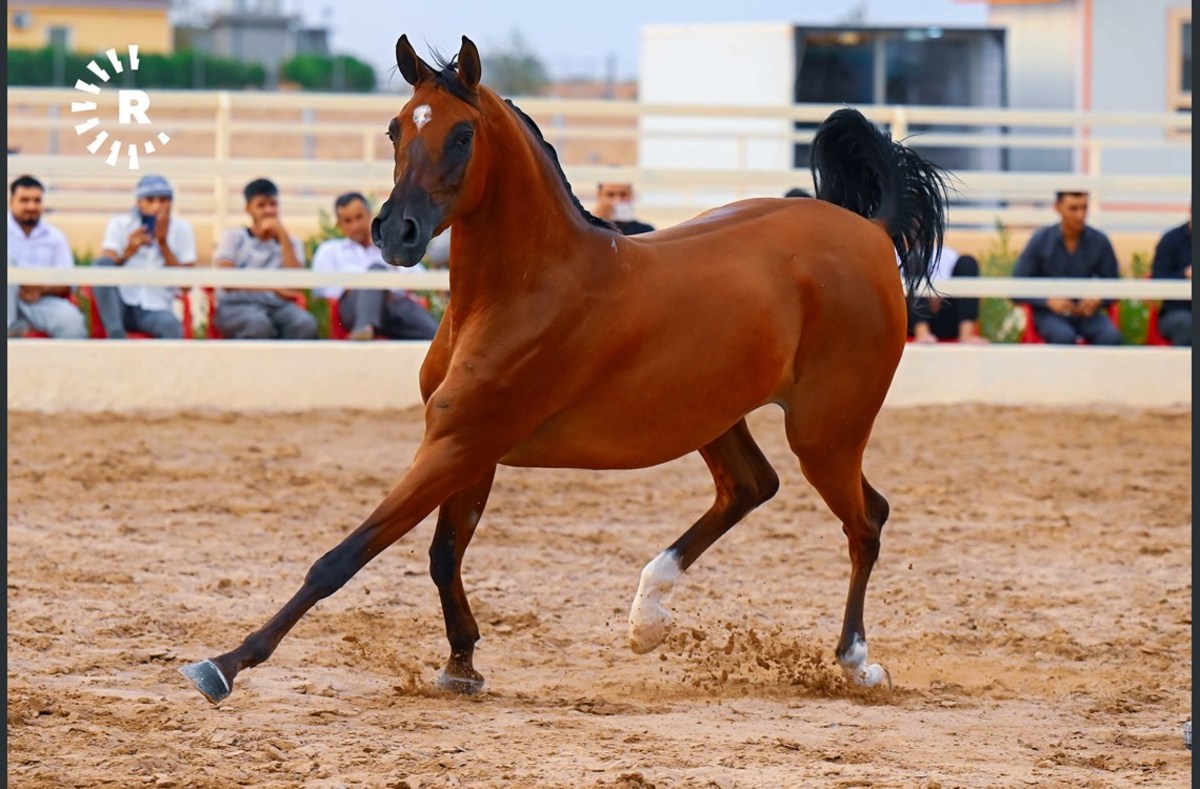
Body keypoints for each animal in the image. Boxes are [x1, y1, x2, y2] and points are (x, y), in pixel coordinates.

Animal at [180, 35, 945, 700]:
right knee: (751, 487)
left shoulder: (458, 443)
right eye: (397, 128)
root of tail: (868, 232)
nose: (396, 233)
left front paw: (224, 666)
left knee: (865, 519)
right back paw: (647, 619)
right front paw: (462, 666)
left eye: (462, 134)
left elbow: (343, 557)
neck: (520, 290)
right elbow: (442, 555)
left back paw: (856, 663)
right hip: (712, 414)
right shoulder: (468, 448)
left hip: (825, 429)